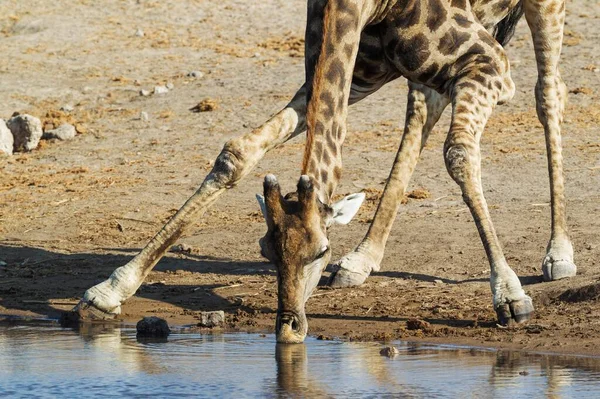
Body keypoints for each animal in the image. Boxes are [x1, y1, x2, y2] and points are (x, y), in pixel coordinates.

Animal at [72, 0, 576, 344]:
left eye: (320, 252)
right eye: (267, 252)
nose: (289, 329)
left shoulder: (489, 65)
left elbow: (459, 154)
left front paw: (510, 298)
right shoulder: (353, 75)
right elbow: (237, 154)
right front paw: (109, 291)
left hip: (540, 10)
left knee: (548, 93)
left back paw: (558, 253)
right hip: (414, 68)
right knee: (423, 106)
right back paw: (363, 258)